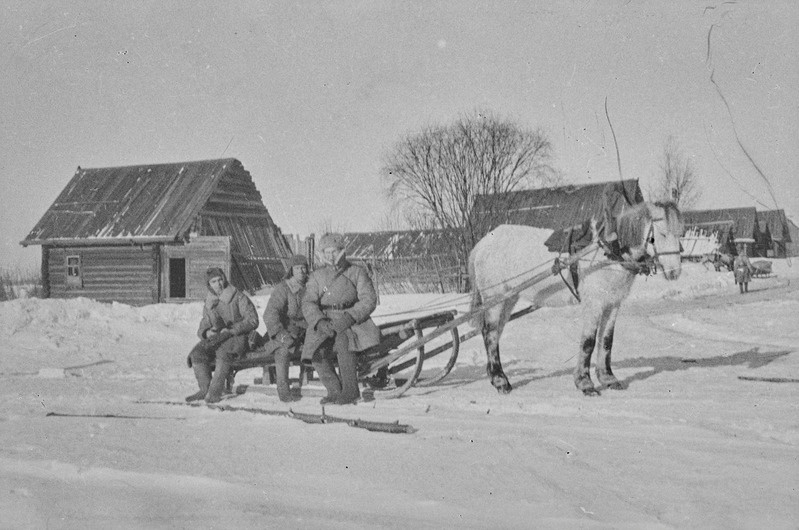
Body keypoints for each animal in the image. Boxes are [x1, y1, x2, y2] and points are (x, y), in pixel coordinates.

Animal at [472, 200, 684, 394]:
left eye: (680, 234)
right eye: (661, 235)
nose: (674, 272)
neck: (609, 252)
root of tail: (482, 244)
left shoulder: (612, 303)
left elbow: (606, 341)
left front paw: (608, 378)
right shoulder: (594, 304)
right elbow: (589, 341)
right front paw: (585, 383)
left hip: (508, 299)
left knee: (493, 333)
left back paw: (493, 375)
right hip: (494, 298)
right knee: (491, 334)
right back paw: (501, 381)